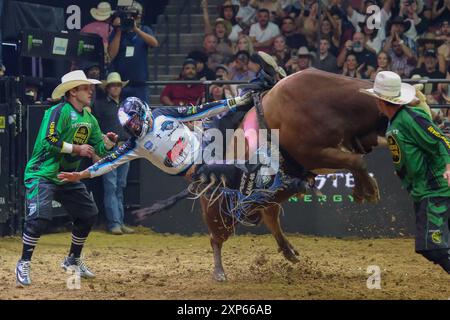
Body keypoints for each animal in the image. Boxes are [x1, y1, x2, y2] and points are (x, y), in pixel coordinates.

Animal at [200, 69, 386, 282]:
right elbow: (357, 162)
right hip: (218, 213)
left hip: (270, 195)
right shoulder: (313, 153)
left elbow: (355, 162)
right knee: (216, 239)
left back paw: (288, 249)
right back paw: (219, 271)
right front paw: (370, 190)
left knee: (270, 216)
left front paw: (361, 189)